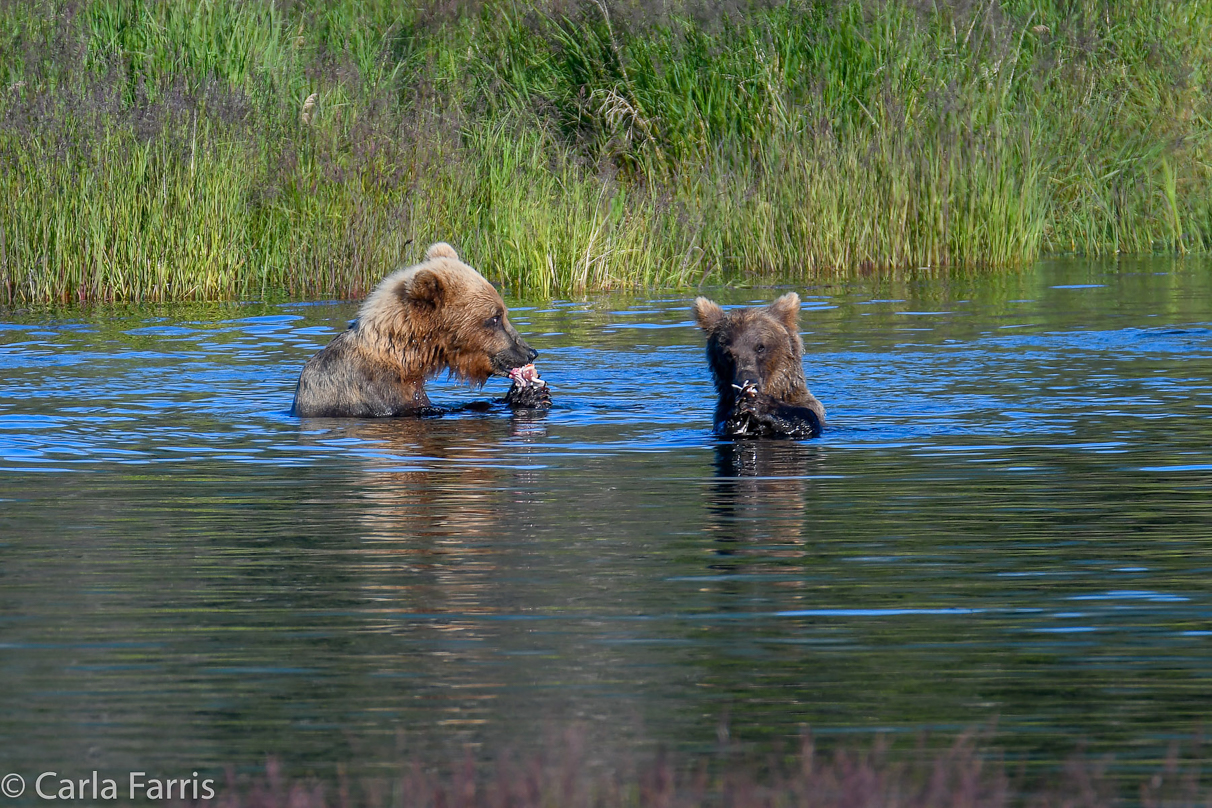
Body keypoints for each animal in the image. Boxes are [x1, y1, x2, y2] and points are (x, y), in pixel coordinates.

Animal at [290, 242, 547, 416]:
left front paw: (530, 394)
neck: (406, 359)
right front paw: (527, 395)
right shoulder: (376, 394)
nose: (530, 351)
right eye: (495, 318)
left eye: (503, 313)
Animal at [693, 294, 824, 438]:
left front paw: (763, 406)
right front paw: (736, 415)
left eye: (760, 347)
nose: (746, 380)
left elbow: (806, 418)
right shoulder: (719, 419)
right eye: (728, 353)